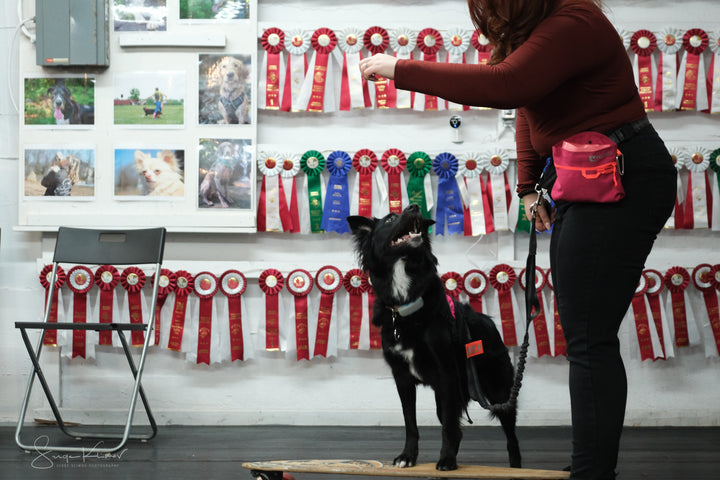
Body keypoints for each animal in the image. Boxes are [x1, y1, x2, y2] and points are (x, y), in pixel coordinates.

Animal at [348, 204, 520, 470]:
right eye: (390, 219)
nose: (414, 207)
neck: (407, 302)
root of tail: (490, 322)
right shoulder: (402, 378)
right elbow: (411, 423)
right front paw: (407, 456)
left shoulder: (446, 373)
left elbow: (448, 426)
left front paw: (446, 459)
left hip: (499, 392)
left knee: (510, 437)